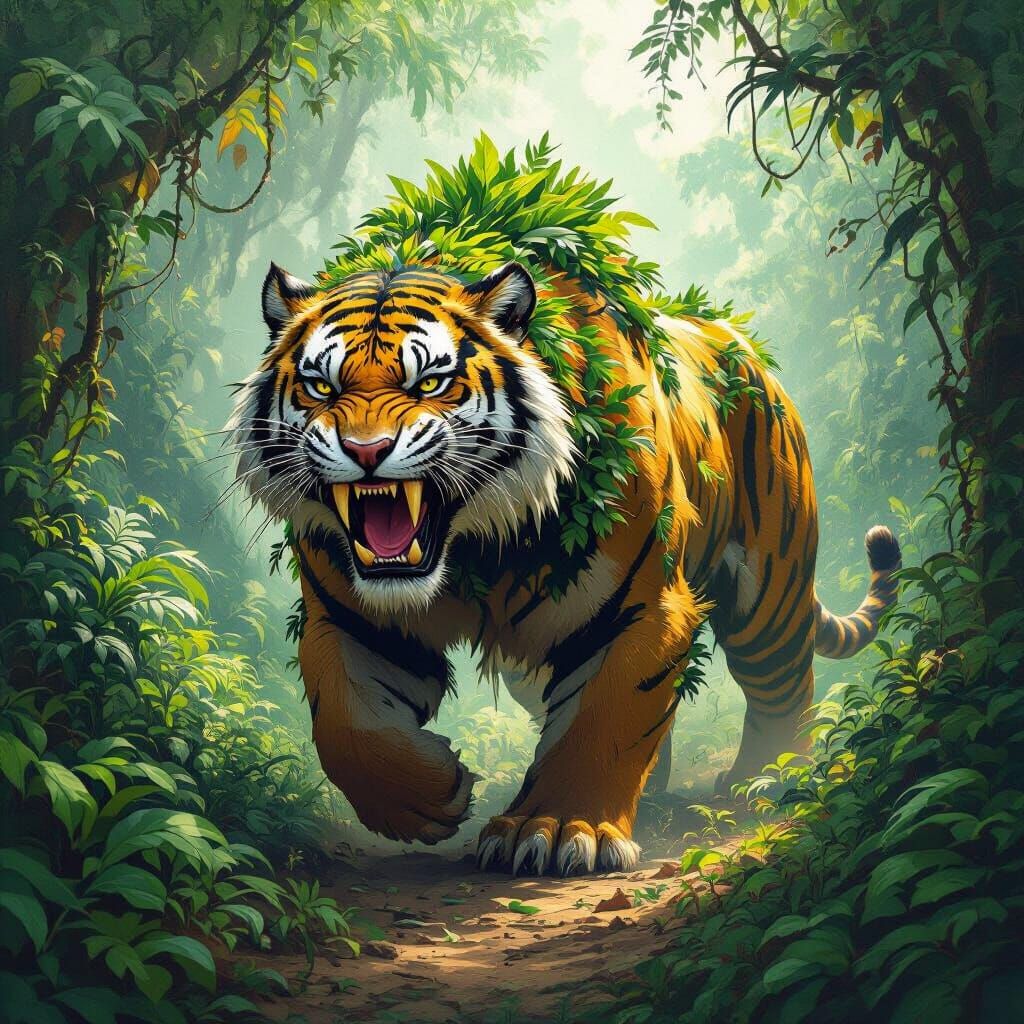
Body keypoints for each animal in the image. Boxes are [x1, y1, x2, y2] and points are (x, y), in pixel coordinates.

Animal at [229, 258, 901, 875]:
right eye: (321, 387)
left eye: (431, 383)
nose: (366, 452)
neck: (471, 546)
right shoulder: (350, 621)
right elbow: (347, 727)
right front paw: (430, 795)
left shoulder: (639, 608)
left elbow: (602, 720)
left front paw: (556, 830)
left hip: (769, 594)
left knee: (783, 689)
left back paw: (765, 781)